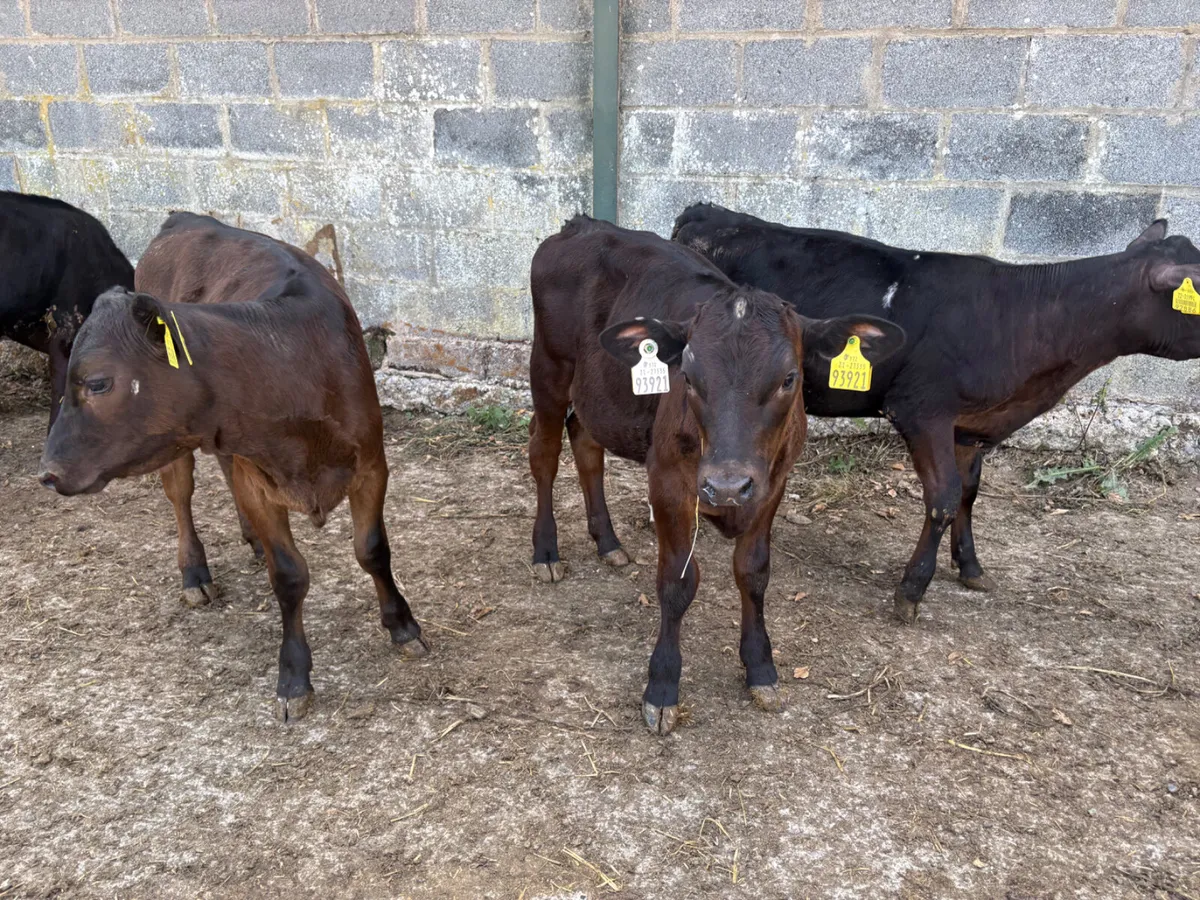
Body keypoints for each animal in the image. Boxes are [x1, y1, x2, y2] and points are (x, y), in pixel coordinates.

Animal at [37, 212, 427, 721]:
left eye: (98, 382)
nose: (47, 471)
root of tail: (183, 218)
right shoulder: (259, 482)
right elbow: (290, 576)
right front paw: (294, 677)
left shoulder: (371, 465)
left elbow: (373, 550)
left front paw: (403, 626)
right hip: (178, 449)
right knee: (181, 496)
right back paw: (195, 574)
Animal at [529, 216, 904, 734]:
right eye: (687, 375)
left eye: (789, 378)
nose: (726, 485)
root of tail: (583, 224)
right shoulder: (669, 482)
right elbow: (677, 582)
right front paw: (662, 686)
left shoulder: (771, 484)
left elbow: (754, 572)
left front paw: (761, 667)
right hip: (547, 368)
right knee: (544, 453)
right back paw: (546, 550)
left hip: (599, 392)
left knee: (585, 444)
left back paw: (608, 542)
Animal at [673, 202, 1200, 624]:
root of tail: (706, 210)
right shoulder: (921, 411)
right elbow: (943, 498)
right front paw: (912, 590)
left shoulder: (970, 426)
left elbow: (969, 492)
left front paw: (970, 567)